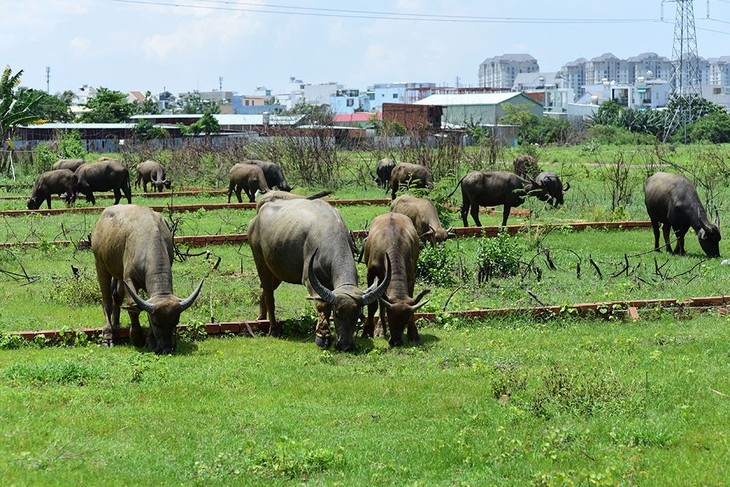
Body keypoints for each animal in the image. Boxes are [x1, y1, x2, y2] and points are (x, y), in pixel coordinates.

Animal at [92, 205, 205, 354]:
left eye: (176, 322)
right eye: (156, 323)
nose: (167, 348)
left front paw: (150, 342)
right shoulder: (129, 278)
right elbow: (133, 306)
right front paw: (137, 337)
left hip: (118, 273)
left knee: (117, 297)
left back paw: (116, 324)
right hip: (100, 265)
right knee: (107, 301)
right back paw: (108, 336)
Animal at [362, 214, 430, 346]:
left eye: (406, 321)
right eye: (390, 318)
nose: (396, 341)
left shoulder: (410, 276)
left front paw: (413, 334)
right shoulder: (371, 274)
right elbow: (373, 304)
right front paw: (367, 331)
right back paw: (380, 329)